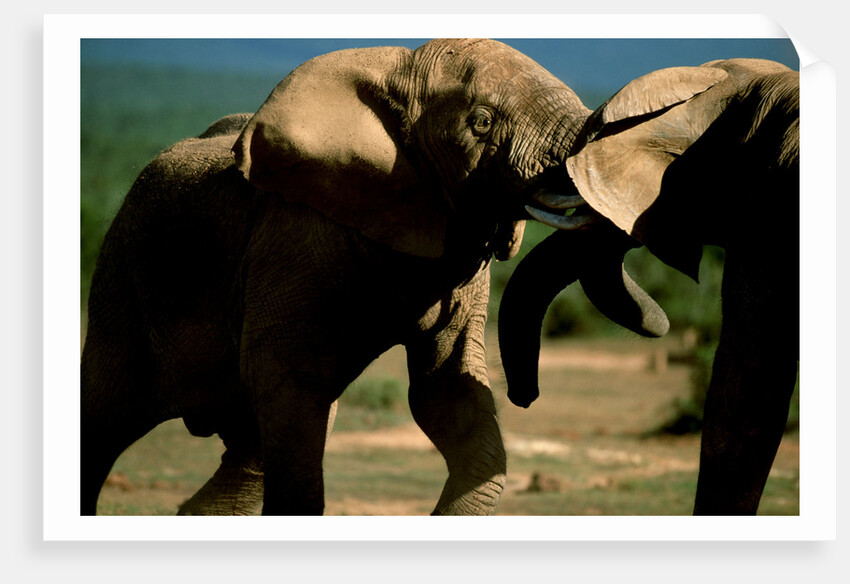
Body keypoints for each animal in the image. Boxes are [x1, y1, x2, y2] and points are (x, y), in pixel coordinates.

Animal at [81, 38, 604, 516]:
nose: (525, 395)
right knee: (102, 421)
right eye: (482, 121)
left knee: (250, 451)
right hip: (121, 282)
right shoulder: (294, 241)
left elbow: (445, 393)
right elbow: (291, 381)